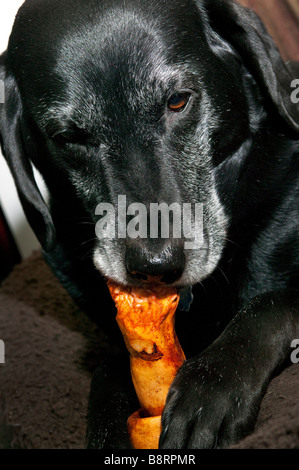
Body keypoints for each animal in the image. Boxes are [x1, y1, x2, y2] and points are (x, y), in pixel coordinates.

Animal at [0, 0, 299, 448]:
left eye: (177, 101)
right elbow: (106, 374)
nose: (155, 267)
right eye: (68, 136)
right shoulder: (112, 343)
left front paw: (212, 386)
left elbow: (271, 303)